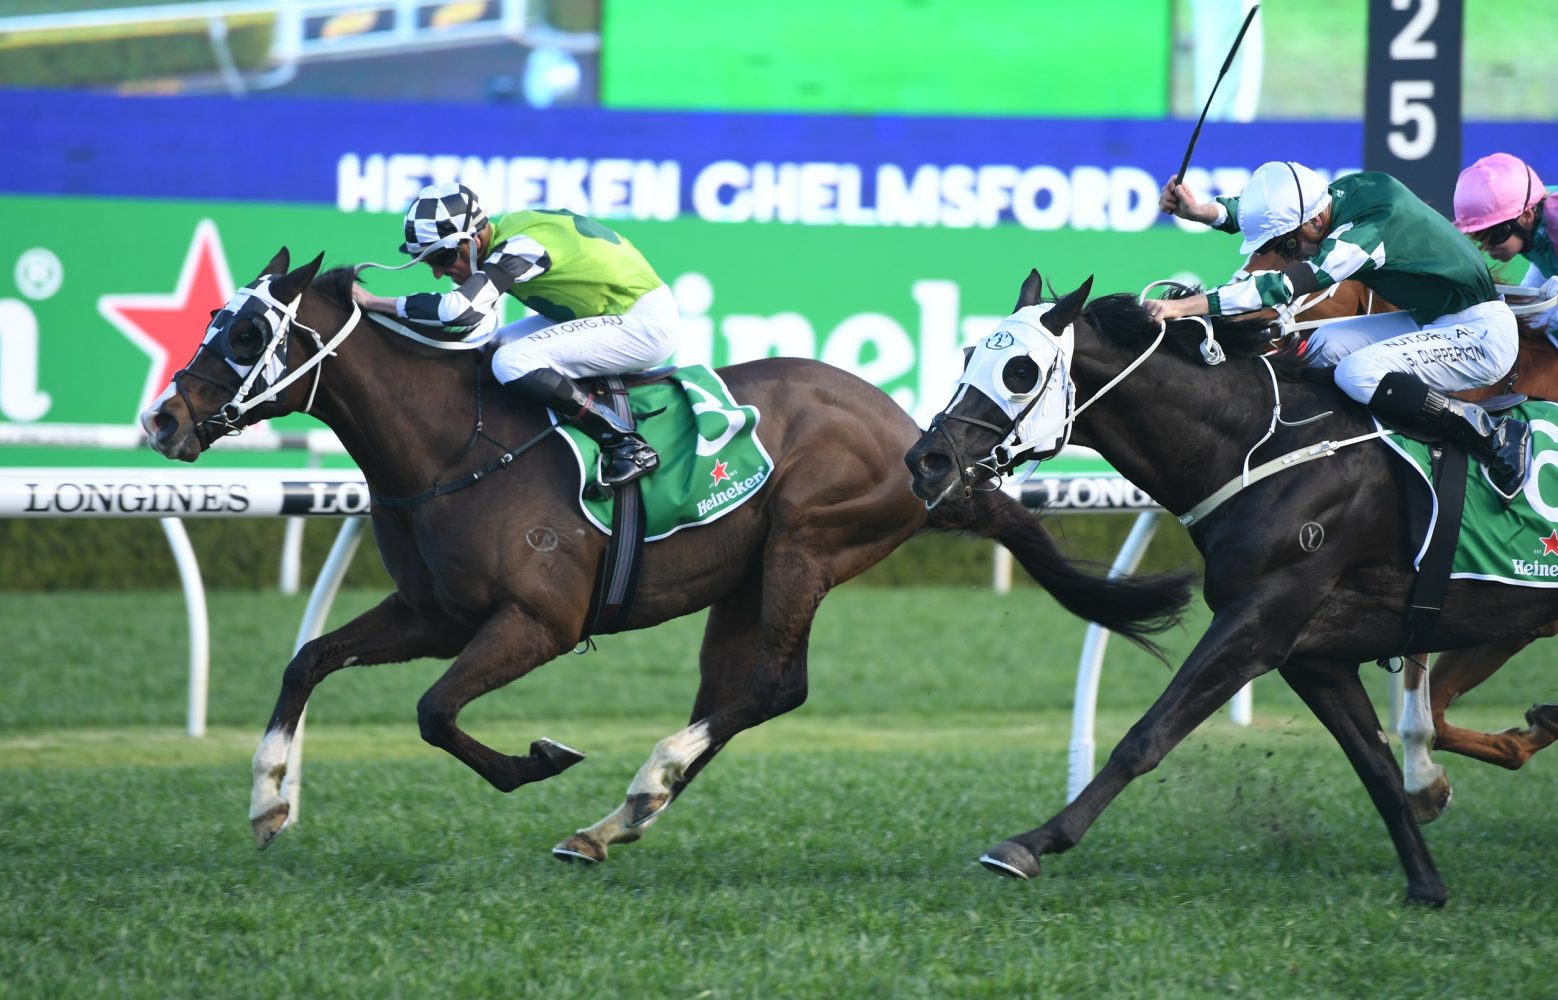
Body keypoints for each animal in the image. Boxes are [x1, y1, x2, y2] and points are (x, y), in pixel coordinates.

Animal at [139, 248, 1195, 865]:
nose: (163, 420)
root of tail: (917, 436)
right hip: (744, 581)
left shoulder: (538, 622)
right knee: (734, 695)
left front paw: (539, 758)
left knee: (774, 687)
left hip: (808, 544)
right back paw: (616, 821)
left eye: (247, 330)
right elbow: (308, 659)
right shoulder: (433, 612)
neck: (451, 447)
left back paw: (640, 786)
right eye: (214, 320)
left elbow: (435, 712)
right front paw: (268, 801)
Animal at [905, 269, 1558, 905]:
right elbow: (1374, 763)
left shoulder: (1260, 620)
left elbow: (1146, 736)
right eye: (968, 355)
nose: (926, 461)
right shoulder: (1313, 655)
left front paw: (1031, 843)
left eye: (1020, 371)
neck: (1267, 447)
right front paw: (1426, 884)